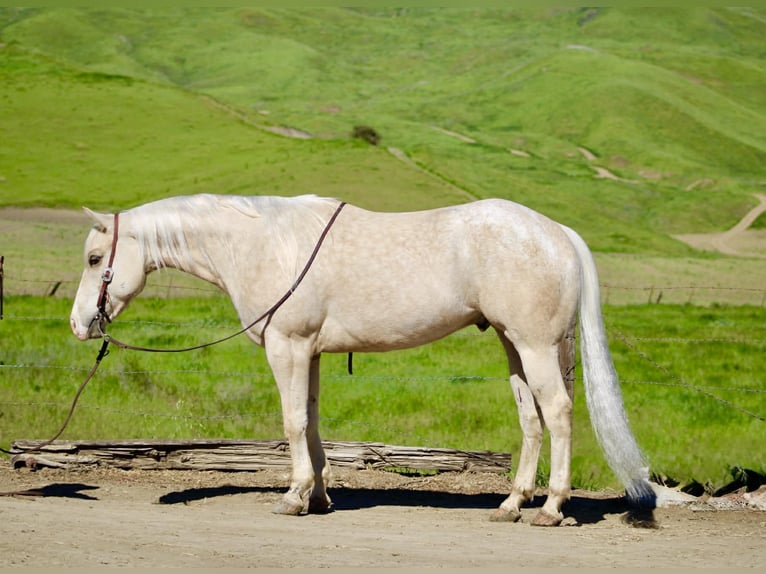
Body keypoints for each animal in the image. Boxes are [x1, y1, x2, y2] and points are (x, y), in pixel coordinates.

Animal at [70, 193, 656, 526]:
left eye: (96, 259)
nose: (80, 324)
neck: (264, 243)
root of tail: (557, 232)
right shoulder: (308, 352)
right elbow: (311, 422)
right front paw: (319, 496)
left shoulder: (287, 347)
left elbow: (292, 421)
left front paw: (294, 496)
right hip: (516, 347)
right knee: (532, 420)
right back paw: (512, 504)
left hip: (534, 346)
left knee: (557, 414)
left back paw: (552, 509)